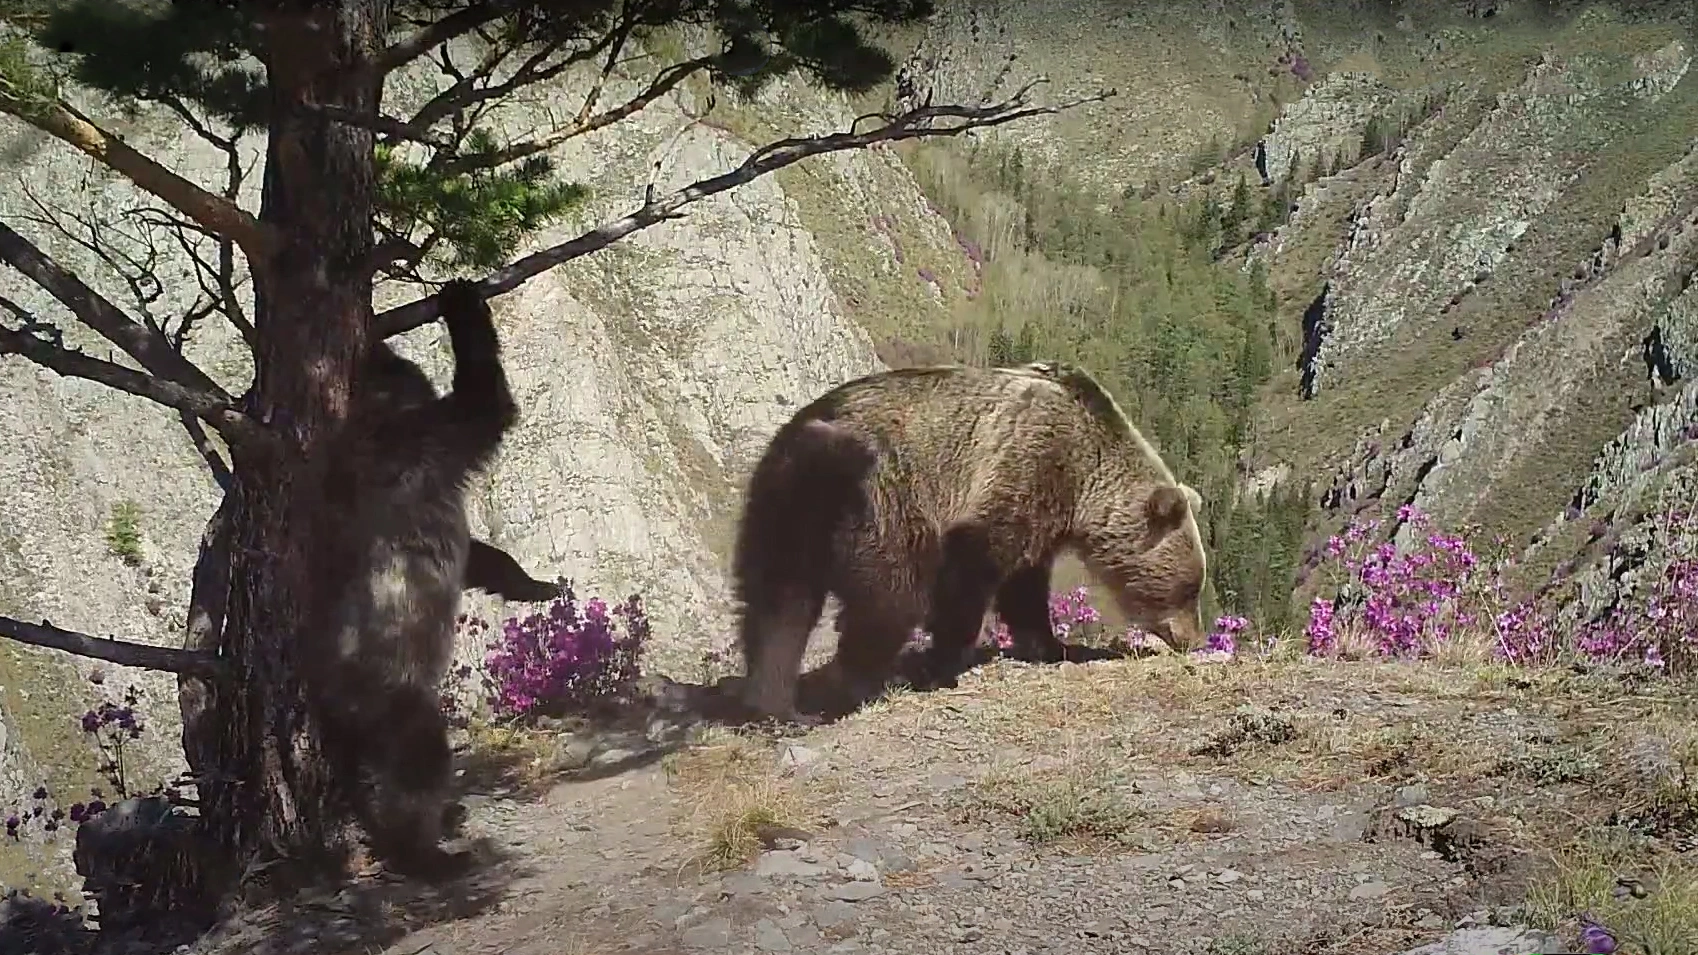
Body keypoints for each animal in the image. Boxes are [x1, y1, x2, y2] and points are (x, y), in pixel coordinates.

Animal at [730, 360, 1208, 717]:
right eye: (1190, 588)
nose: (1194, 639)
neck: (1087, 477)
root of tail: (815, 444)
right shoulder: (1023, 466)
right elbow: (974, 568)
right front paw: (943, 663)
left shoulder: (1044, 509)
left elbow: (1025, 586)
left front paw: (1052, 645)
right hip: (883, 499)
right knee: (889, 596)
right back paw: (855, 684)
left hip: (780, 505)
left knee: (777, 605)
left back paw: (772, 700)